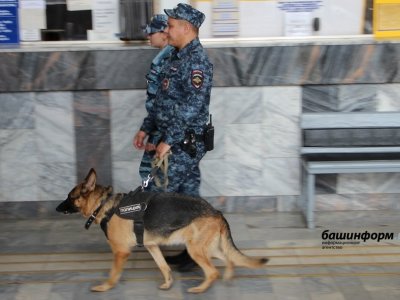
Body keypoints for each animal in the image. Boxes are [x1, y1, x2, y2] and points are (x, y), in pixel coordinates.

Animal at [56, 169, 268, 292]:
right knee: (229, 260)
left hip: (196, 250)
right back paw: (228, 277)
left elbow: (113, 273)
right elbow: (164, 267)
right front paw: (168, 284)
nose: (56, 208)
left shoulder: (121, 252)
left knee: (213, 271)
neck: (104, 205)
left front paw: (105, 287)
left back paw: (200, 289)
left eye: (69, 196)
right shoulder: (152, 246)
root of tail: (216, 211)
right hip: (208, 249)